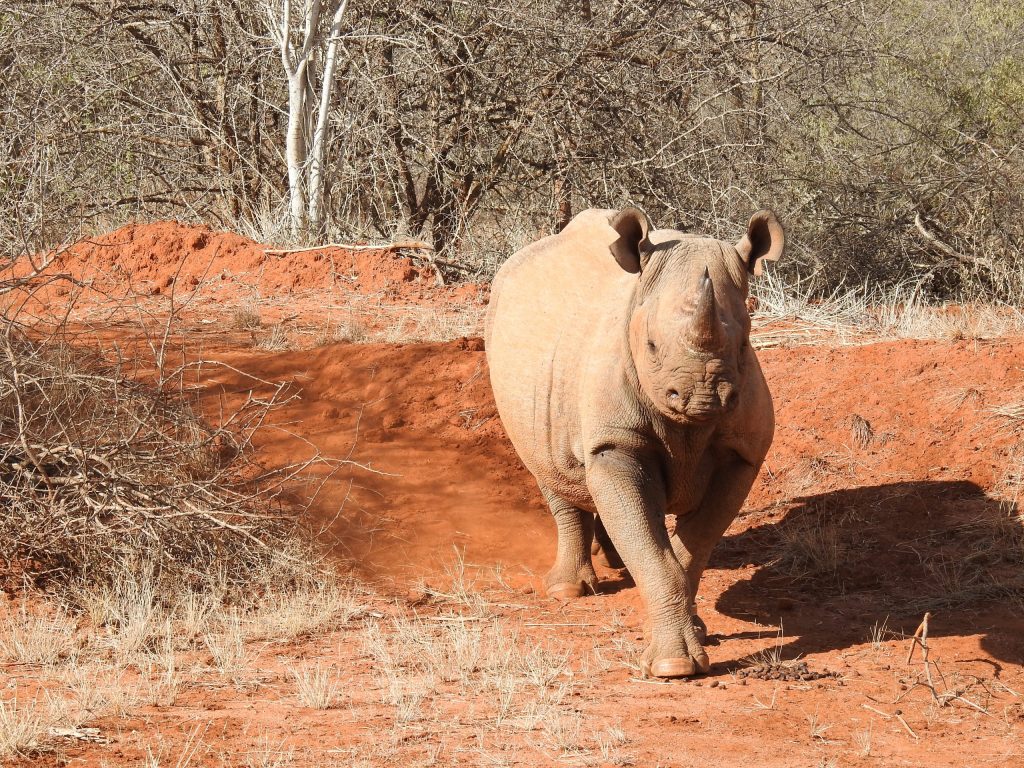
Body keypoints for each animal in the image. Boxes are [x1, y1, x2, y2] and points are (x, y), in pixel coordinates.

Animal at [485, 207, 783, 678]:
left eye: (745, 345)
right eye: (651, 345)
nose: (702, 397)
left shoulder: (742, 454)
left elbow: (691, 547)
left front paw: (694, 633)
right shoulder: (615, 442)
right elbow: (653, 544)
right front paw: (673, 667)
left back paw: (612, 562)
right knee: (551, 472)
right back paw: (567, 592)